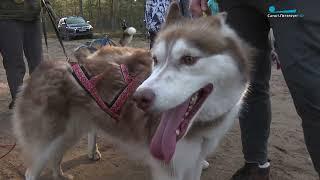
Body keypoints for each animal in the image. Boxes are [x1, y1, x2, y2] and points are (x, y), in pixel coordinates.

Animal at [11, 1, 252, 180]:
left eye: (189, 59)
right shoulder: (170, 168)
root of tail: (41, 68)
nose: (139, 98)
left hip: (68, 133)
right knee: (32, 171)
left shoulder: (191, 162)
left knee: (57, 156)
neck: (199, 127)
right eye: (156, 59)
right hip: (46, 140)